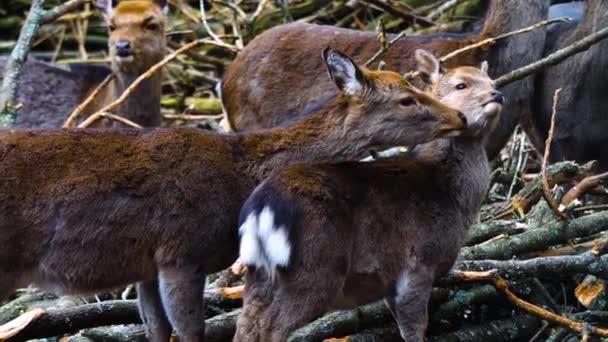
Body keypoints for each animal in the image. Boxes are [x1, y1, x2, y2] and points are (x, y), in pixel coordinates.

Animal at [0, 48, 466, 342]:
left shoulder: (147, 264)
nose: (459, 117)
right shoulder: (182, 251)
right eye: (406, 98)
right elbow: (192, 331)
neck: (237, 171)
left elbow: (157, 330)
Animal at [234, 50, 504, 342]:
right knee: (271, 326)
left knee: (246, 322)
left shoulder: (389, 279)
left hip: (259, 272)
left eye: (491, 80)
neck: (451, 197)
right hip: (314, 268)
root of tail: (260, 211)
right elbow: (414, 327)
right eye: (460, 85)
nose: (497, 94)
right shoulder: (417, 262)